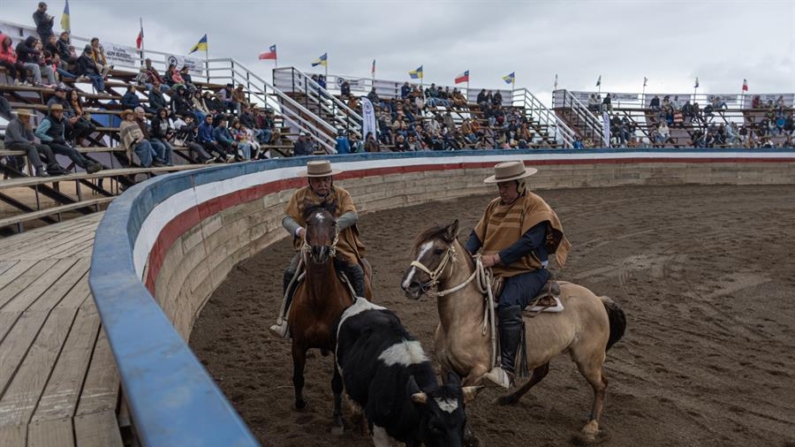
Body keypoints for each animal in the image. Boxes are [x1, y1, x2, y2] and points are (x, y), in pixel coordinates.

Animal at [286, 204, 374, 434]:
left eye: (333, 223)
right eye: (308, 223)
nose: (320, 251)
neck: (318, 299)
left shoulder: (336, 346)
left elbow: (336, 383)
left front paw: (337, 420)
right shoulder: (298, 344)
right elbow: (298, 377)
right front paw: (300, 403)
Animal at [402, 220, 624, 444]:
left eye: (438, 250)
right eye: (418, 248)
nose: (408, 285)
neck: (465, 319)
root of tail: (598, 299)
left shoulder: (478, 370)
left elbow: (465, 397)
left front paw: (467, 434)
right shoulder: (446, 367)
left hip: (588, 360)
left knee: (602, 385)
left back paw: (591, 426)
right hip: (547, 351)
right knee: (541, 374)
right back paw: (508, 398)